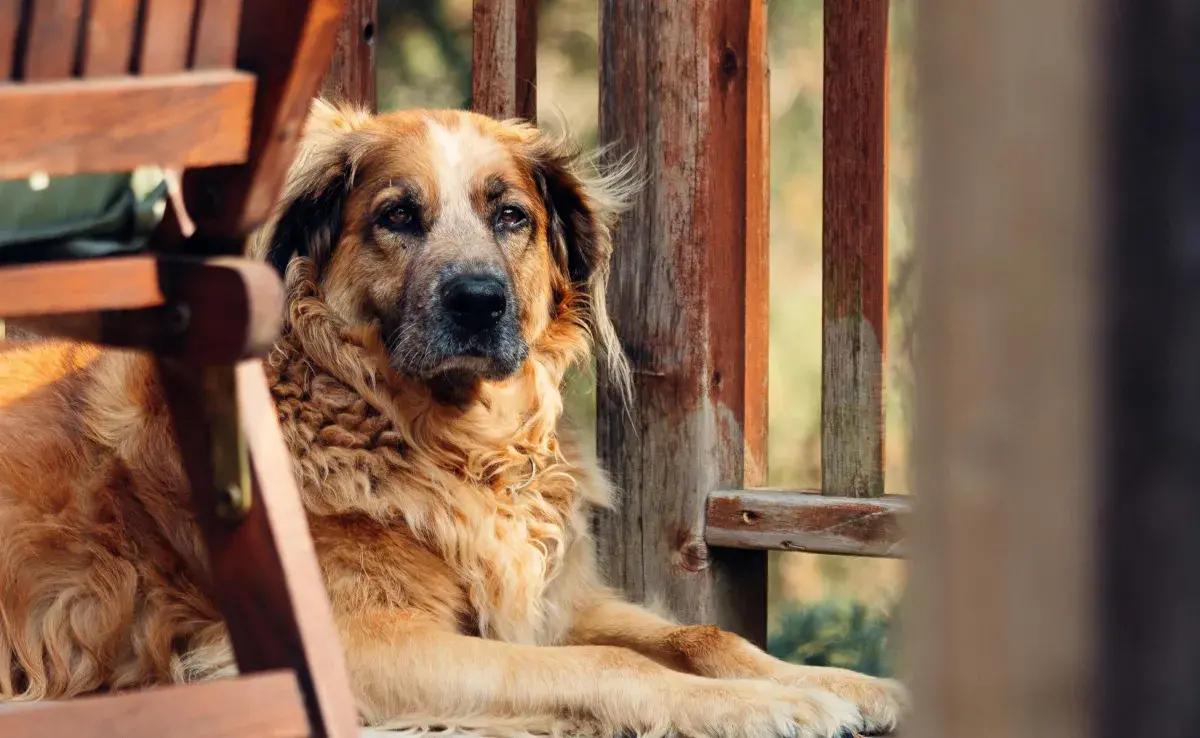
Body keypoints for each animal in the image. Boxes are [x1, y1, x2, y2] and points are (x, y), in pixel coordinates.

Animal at [0, 103, 902, 738]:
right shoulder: (357, 644)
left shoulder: (552, 601)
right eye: (398, 215)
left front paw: (837, 683)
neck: (454, 446)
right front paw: (764, 706)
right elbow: (614, 663)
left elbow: (701, 637)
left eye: (511, 218)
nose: (478, 300)